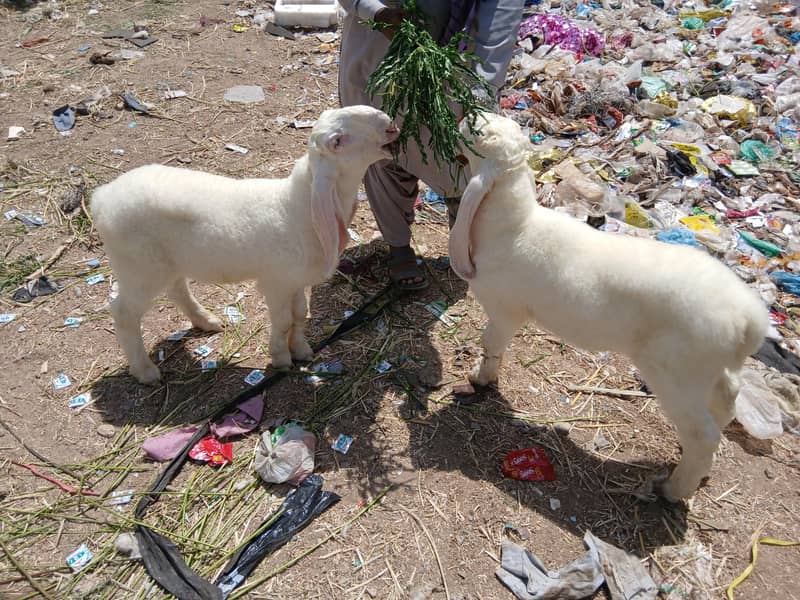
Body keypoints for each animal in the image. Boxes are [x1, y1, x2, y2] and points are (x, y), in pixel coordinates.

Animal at [91, 105, 399, 384]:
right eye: (338, 140)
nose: (390, 124)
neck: (295, 207)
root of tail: (101, 198)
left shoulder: (295, 280)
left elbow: (300, 314)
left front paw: (301, 350)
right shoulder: (275, 283)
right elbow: (284, 321)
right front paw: (281, 357)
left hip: (167, 262)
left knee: (177, 289)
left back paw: (206, 320)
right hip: (139, 268)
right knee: (123, 313)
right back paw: (145, 371)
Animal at [449, 112, 769, 501]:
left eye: (479, 134)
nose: (464, 116)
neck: (516, 225)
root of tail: (749, 320)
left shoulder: (504, 310)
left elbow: (491, 345)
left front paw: (481, 379)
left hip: (677, 373)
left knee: (703, 433)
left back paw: (673, 489)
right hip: (711, 369)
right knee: (726, 401)